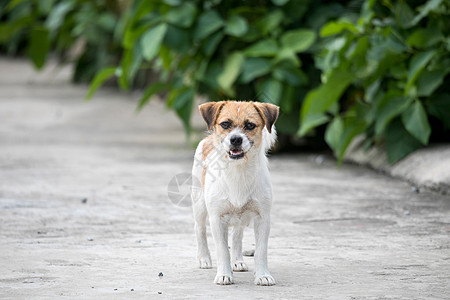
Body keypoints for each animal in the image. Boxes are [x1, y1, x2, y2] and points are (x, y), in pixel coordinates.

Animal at [192, 101, 280, 286]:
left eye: (250, 125)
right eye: (225, 124)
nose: (235, 139)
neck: (238, 171)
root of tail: (208, 138)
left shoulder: (263, 218)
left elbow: (261, 250)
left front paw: (263, 275)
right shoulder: (217, 219)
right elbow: (222, 250)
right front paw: (224, 274)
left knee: (237, 236)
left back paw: (238, 260)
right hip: (199, 205)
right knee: (200, 229)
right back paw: (204, 258)